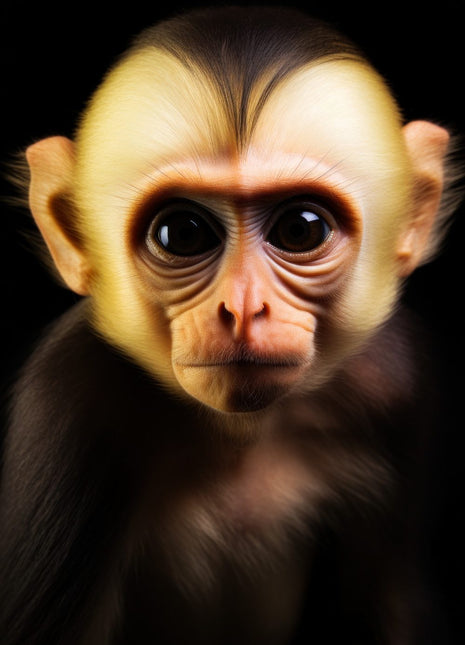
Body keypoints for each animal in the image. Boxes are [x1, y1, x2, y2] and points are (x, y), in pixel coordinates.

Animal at [0, 5, 462, 644]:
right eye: (182, 233)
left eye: (301, 228)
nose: (243, 309)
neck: (242, 432)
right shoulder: (69, 401)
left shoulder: (396, 381)